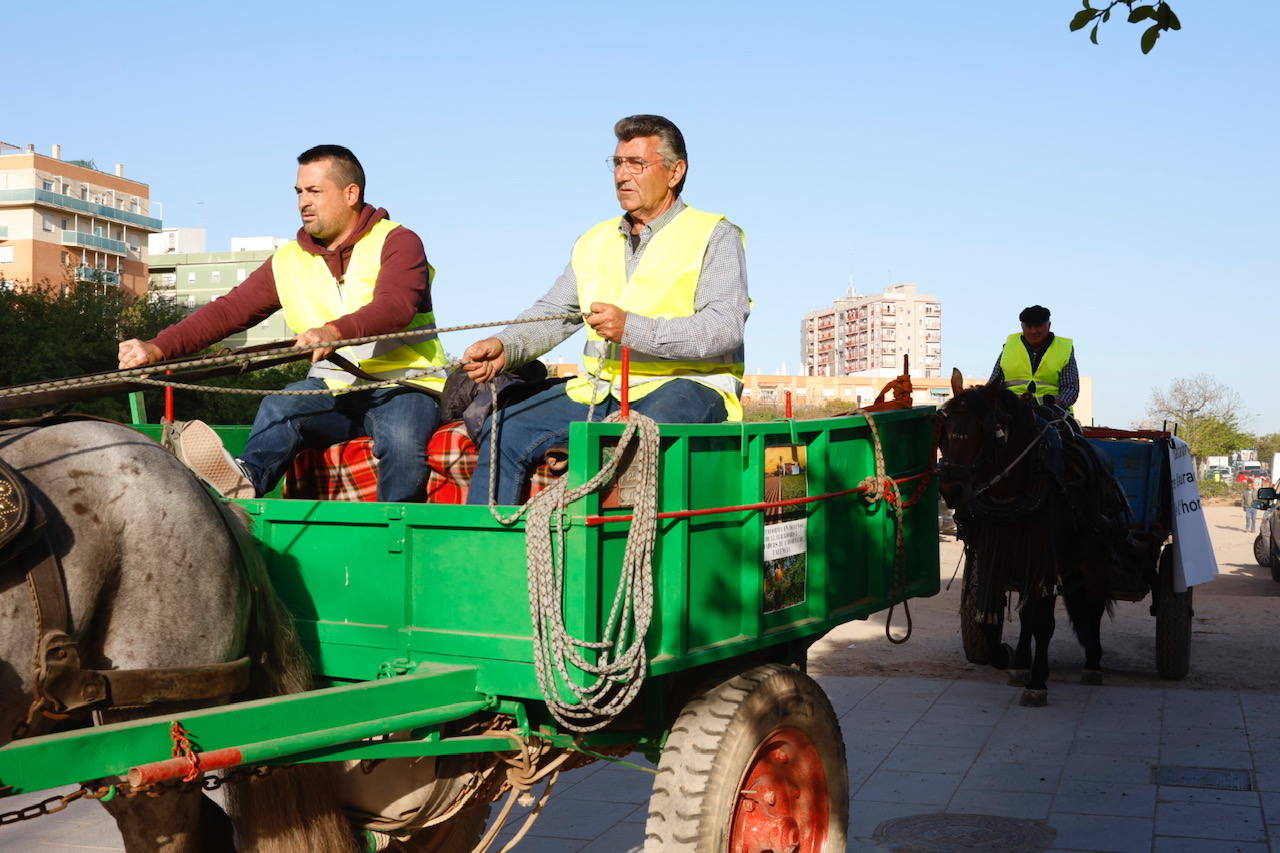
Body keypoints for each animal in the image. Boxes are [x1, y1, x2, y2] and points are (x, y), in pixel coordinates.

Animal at [936, 376, 1136, 701]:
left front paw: (1037, 682)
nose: (951, 489)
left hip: (1091, 555)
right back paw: (1021, 662)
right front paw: (1005, 657)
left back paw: (1093, 662)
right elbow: (989, 615)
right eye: (945, 429)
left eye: (987, 429)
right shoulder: (994, 553)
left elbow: (1043, 621)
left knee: (1092, 602)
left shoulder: (1046, 558)